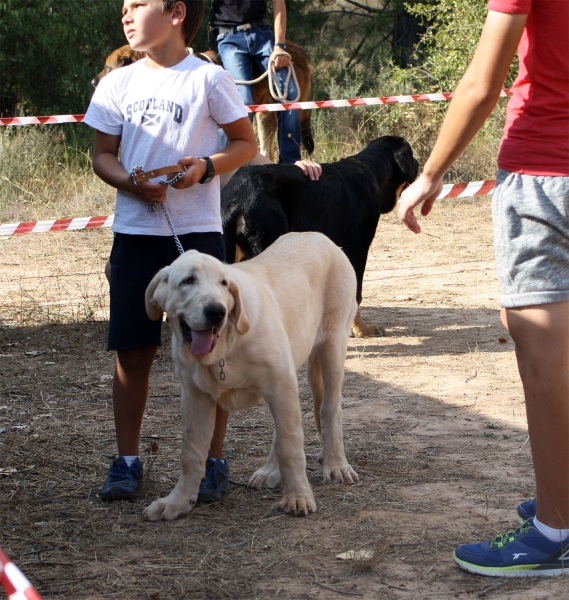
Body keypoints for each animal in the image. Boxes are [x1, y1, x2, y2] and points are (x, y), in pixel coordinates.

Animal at [141, 230, 356, 520]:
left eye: (223, 283)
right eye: (187, 281)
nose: (216, 311)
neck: (226, 347)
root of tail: (320, 236)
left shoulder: (281, 384)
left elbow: (291, 445)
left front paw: (298, 497)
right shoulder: (194, 397)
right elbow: (191, 453)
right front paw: (178, 501)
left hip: (332, 347)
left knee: (329, 408)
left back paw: (335, 465)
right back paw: (270, 472)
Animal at [221, 134, 418, 338]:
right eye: (411, 156)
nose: (419, 162)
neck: (371, 170)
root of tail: (236, 198)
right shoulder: (358, 250)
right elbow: (357, 294)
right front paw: (362, 330)